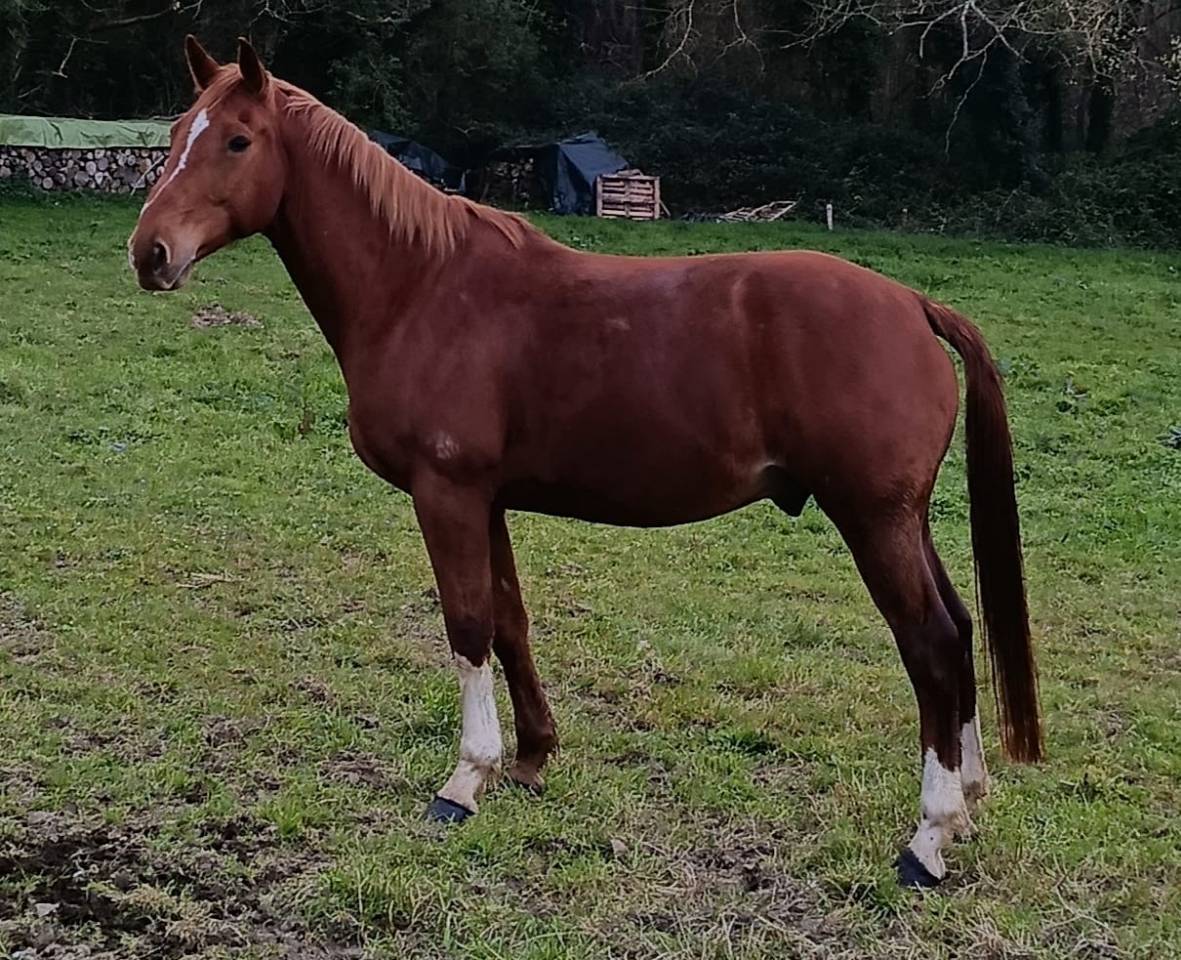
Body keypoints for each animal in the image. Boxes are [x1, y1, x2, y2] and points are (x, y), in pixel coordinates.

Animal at [128, 36, 1042, 888]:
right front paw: (530, 758)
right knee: (960, 628)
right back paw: (968, 800)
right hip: (902, 519)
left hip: (872, 518)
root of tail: (912, 306)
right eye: (174, 133)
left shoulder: (445, 494)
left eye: (238, 140)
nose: (150, 252)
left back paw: (928, 836)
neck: (421, 287)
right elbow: (508, 621)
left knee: (929, 645)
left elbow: (466, 626)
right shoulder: (486, 499)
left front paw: (464, 780)